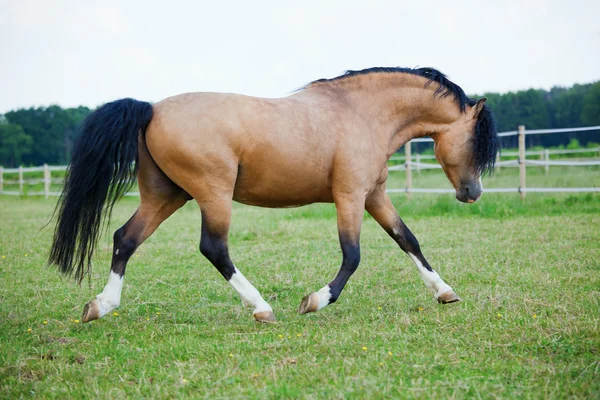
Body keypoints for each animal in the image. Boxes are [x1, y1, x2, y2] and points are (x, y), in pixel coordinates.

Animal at [49, 67, 500, 324]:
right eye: (475, 142)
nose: (472, 193)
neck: (361, 113)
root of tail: (151, 109)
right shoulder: (350, 196)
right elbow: (352, 256)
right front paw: (315, 301)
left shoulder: (374, 196)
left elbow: (408, 239)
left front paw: (444, 292)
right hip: (212, 194)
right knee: (214, 248)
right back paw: (261, 307)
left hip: (165, 196)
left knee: (125, 238)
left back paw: (101, 306)